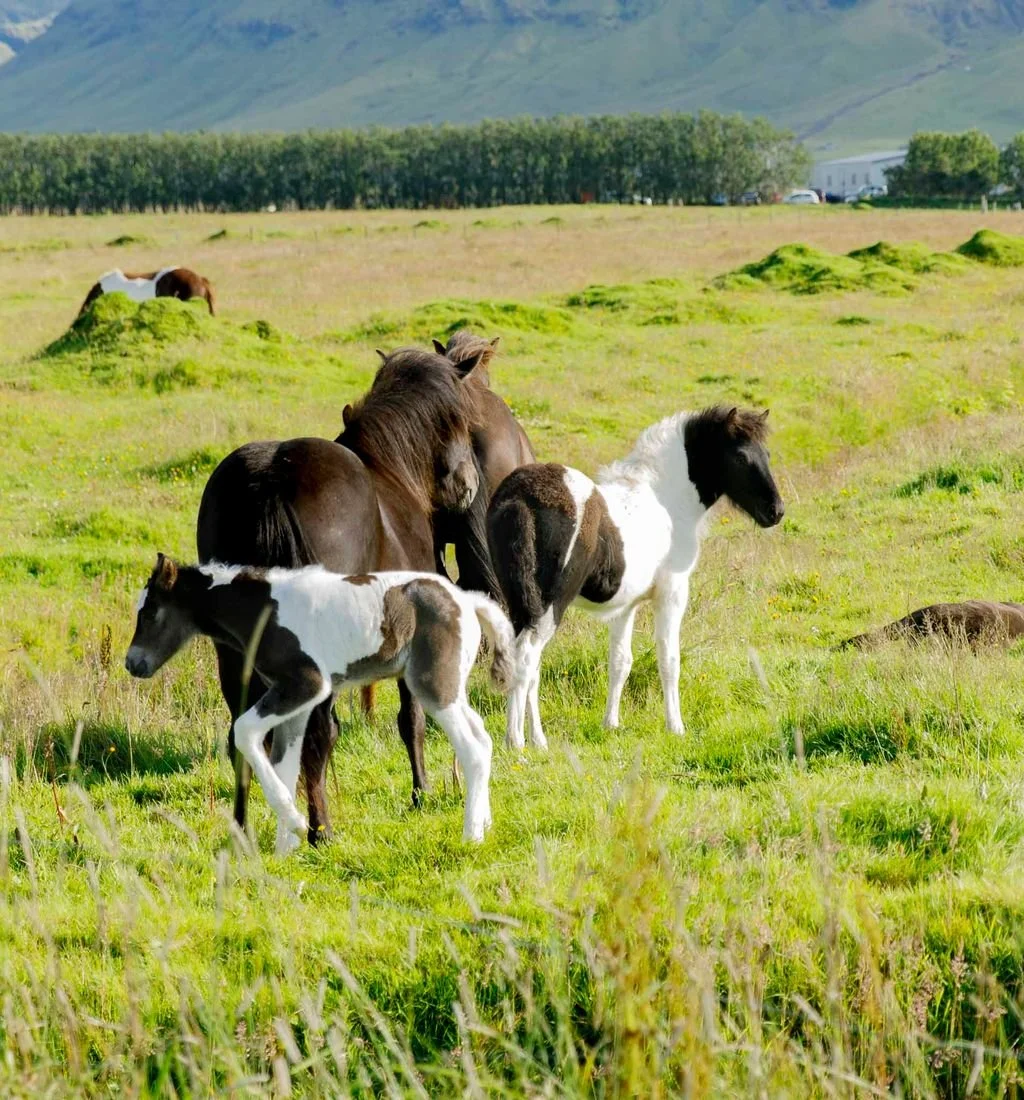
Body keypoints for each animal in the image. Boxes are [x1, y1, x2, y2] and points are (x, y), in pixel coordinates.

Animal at [125, 555, 516, 852]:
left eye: (150, 613)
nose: (132, 663)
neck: (264, 611)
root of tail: (466, 601)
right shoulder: (295, 703)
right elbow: (284, 764)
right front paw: (285, 852)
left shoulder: (306, 683)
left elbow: (245, 732)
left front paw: (297, 825)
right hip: (451, 686)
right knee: (483, 738)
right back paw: (486, 822)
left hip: (432, 685)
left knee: (472, 749)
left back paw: (471, 835)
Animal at [196, 344, 491, 846]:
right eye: (463, 421)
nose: (468, 486)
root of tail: (272, 477)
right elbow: (411, 719)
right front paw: (421, 792)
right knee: (317, 733)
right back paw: (320, 829)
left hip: (234, 655)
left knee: (246, 737)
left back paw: (245, 830)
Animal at [487, 405, 785, 750]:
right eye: (740, 457)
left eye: (767, 454)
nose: (776, 511)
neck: (665, 499)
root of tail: (520, 498)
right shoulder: (672, 594)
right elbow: (669, 660)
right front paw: (676, 727)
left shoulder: (625, 605)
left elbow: (620, 662)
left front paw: (611, 724)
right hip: (550, 606)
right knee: (526, 658)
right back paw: (516, 742)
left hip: (522, 605)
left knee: (529, 664)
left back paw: (538, 740)